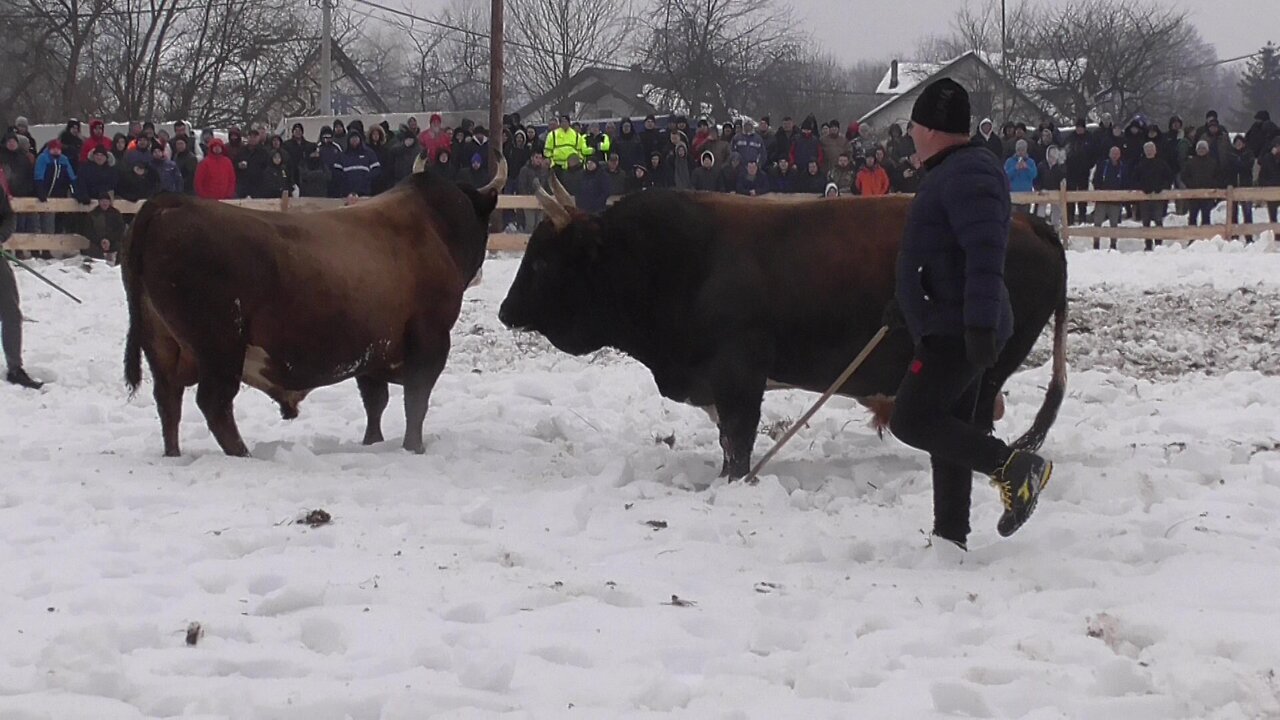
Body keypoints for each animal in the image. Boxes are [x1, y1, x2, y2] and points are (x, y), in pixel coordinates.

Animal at [123, 156, 504, 453]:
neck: (434, 225)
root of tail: (169, 204)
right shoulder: (430, 340)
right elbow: (416, 401)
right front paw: (414, 447)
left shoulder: (373, 349)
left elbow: (375, 403)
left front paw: (372, 442)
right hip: (220, 347)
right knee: (214, 403)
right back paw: (242, 453)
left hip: (163, 346)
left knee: (169, 401)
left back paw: (174, 452)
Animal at [499, 185, 1070, 476]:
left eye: (544, 263)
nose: (506, 311)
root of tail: (1030, 221)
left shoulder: (738, 376)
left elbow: (738, 441)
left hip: (986, 371)